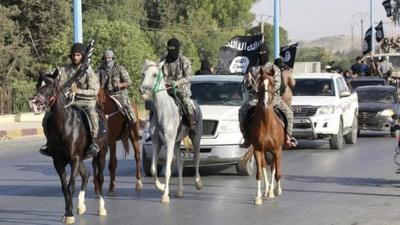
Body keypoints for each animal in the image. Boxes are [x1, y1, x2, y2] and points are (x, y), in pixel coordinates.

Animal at [29, 70, 108, 223]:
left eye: (49, 86)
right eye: (37, 85)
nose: (34, 104)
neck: (64, 125)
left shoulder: (74, 159)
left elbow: (71, 186)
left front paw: (70, 214)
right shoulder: (59, 162)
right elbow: (64, 187)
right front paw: (67, 212)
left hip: (101, 153)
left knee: (99, 178)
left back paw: (101, 208)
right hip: (82, 158)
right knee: (86, 175)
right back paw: (80, 206)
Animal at [141, 59, 203, 203]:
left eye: (154, 74)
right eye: (143, 74)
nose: (142, 90)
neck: (164, 111)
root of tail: (196, 104)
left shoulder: (169, 141)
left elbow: (168, 170)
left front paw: (165, 195)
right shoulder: (156, 142)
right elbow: (153, 169)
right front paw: (161, 186)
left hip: (195, 138)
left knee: (196, 158)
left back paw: (198, 183)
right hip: (176, 143)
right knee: (180, 162)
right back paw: (179, 191)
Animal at [248, 66, 286, 204]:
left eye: (273, 84)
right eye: (259, 84)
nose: (265, 103)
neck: (266, 123)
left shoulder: (277, 150)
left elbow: (277, 172)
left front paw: (276, 190)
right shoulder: (258, 149)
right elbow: (259, 172)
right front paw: (258, 197)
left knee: (274, 167)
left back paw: (272, 190)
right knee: (265, 166)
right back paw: (266, 190)